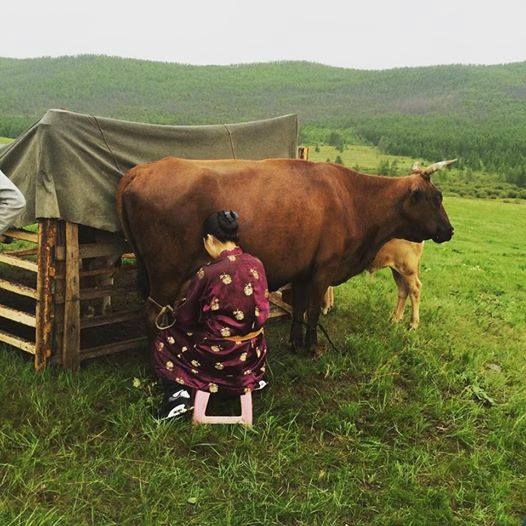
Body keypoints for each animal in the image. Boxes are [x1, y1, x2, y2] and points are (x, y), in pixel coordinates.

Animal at [117, 157, 456, 354]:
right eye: (436, 197)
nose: (449, 230)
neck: (352, 198)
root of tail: (141, 170)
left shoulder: (304, 271)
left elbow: (300, 310)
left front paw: (296, 342)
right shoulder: (324, 269)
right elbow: (314, 311)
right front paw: (313, 347)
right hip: (167, 273)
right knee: (151, 316)